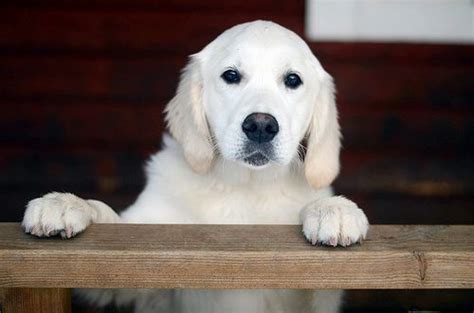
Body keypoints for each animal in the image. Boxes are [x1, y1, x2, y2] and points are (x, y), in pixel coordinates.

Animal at [22, 20, 370, 310]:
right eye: (231, 76)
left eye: (293, 79)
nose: (260, 125)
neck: (245, 186)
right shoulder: (137, 266)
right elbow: (108, 222)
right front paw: (65, 204)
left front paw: (333, 210)